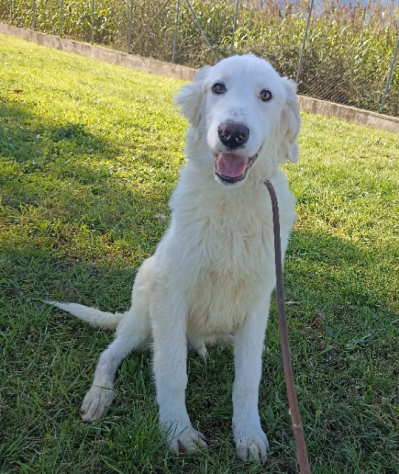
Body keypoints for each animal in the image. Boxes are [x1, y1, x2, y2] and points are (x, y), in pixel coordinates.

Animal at [48, 53, 300, 462]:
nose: (232, 133)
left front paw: (248, 434)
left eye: (266, 95)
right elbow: (170, 371)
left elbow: (248, 378)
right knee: (110, 352)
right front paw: (178, 430)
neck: (231, 204)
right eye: (218, 87)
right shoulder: (171, 297)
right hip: (143, 315)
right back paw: (99, 396)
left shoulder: (258, 304)